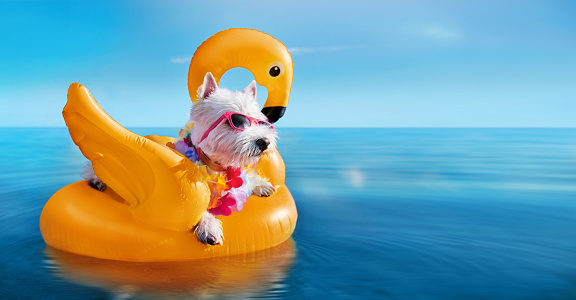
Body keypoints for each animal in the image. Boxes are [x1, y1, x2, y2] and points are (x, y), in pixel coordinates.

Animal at [82, 72, 276, 246]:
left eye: (260, 122)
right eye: (236, 121)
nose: (264, 142)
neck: (215, 165)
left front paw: (260, 184)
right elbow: (199, 208)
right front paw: (208, 226)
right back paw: (96, 180)